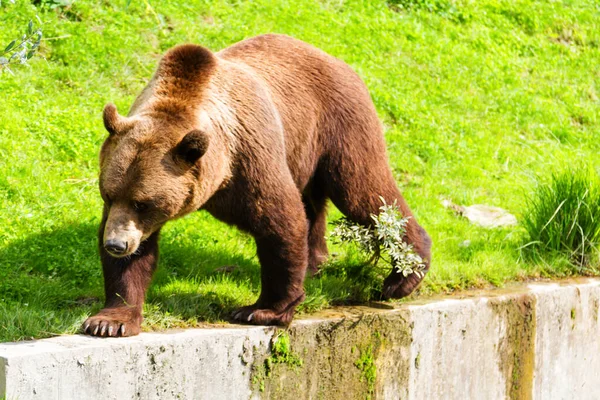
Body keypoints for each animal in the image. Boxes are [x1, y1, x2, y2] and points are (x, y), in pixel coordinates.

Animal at [83, 33, 432, 338]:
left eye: (143, 202)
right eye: (109, 194)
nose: (116, 245)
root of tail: (337, 60)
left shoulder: (250, 157)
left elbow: (280, 221)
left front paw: (262, 310)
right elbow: (137, 257)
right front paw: (109, 321)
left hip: (340, 123)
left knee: (364, 192)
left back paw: (403, 275)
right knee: (315, 204)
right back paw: (315, 261)